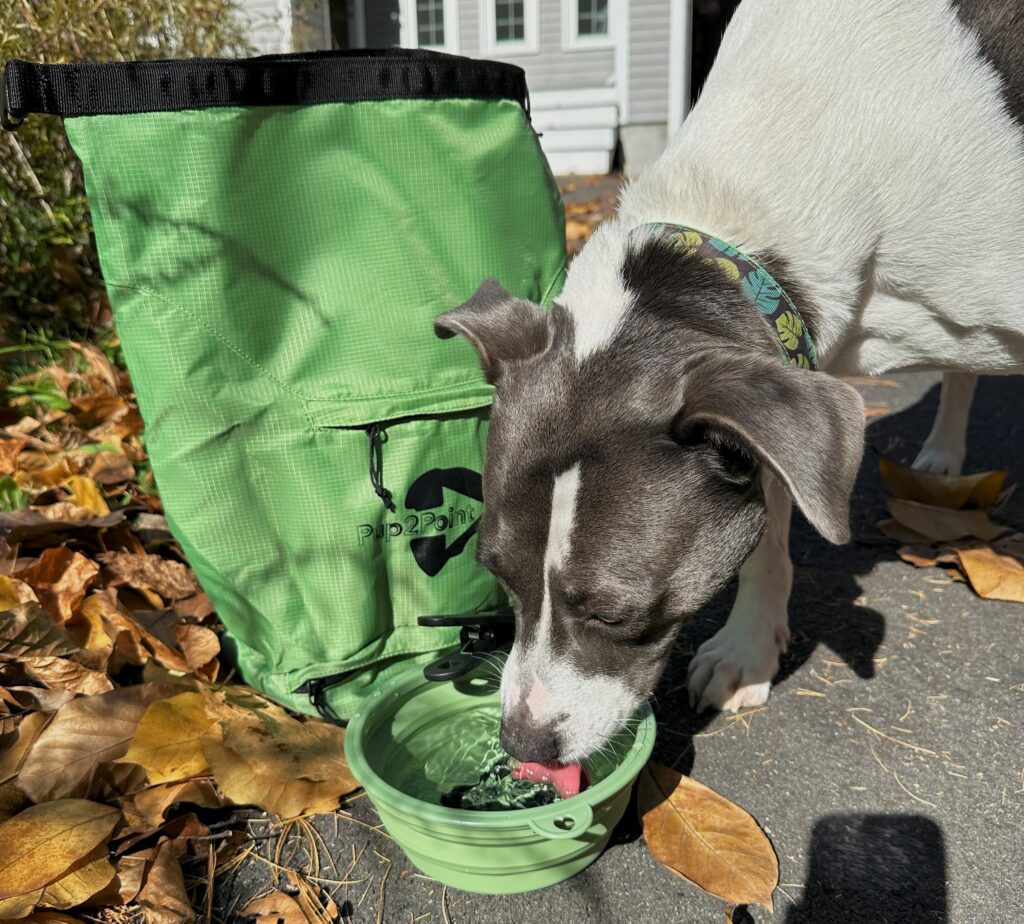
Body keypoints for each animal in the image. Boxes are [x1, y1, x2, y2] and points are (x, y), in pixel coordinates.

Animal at [434, 0, 1024, 766]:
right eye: (499, 577)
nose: (522, 744)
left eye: (613, 612)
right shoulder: (783, 378)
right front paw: (749, 650)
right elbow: (765, 522)